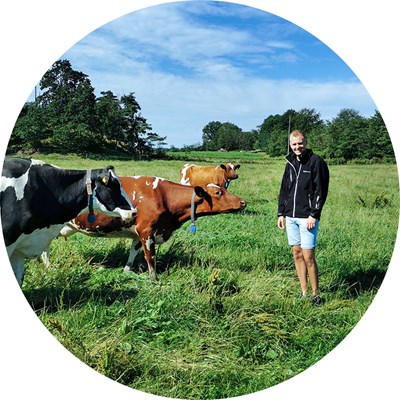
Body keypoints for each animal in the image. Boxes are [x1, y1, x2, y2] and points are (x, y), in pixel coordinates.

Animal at [51, 175, 245, 282]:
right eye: (218, 193)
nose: (243, 202)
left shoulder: (139, 234)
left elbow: (133, 254)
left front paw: (126, 271)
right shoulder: (147, 231)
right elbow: (150, 257)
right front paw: (154, 279)